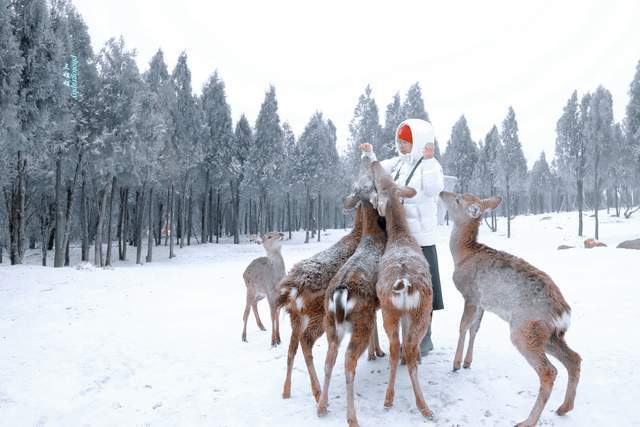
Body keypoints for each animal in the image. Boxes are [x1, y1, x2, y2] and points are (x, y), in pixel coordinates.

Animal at [318, 199, 388, 426]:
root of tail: (341, 293)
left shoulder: (374, 308)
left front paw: (376, 353)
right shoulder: (377, 307)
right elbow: (376, 328)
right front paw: (377, 353)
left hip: (330, 324)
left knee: (329, 360)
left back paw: (322, 407)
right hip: (360, 323)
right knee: (348, 361)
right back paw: (352, 418)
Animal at [368, 157, 438, 418]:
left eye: (383, 182)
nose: (374, 163)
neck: (401, 236)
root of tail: (404, 284)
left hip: (393, 310)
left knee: (397, 346)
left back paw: (393, 399)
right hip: (418, 310)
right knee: (406, 345)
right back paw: (421, 405)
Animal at [442, 191, 584, 427]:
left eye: (458, 199)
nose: (442, 192)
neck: (463, 255)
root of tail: (563, 314)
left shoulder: (471, 295)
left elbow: (462, 326)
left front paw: (456, 363)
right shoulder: (482, 303)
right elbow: (475, 328)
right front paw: (467, 362)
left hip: (523, 330)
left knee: (549, 371)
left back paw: (528, 421)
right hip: (549, 335)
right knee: (574, 359)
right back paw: (563, 408)